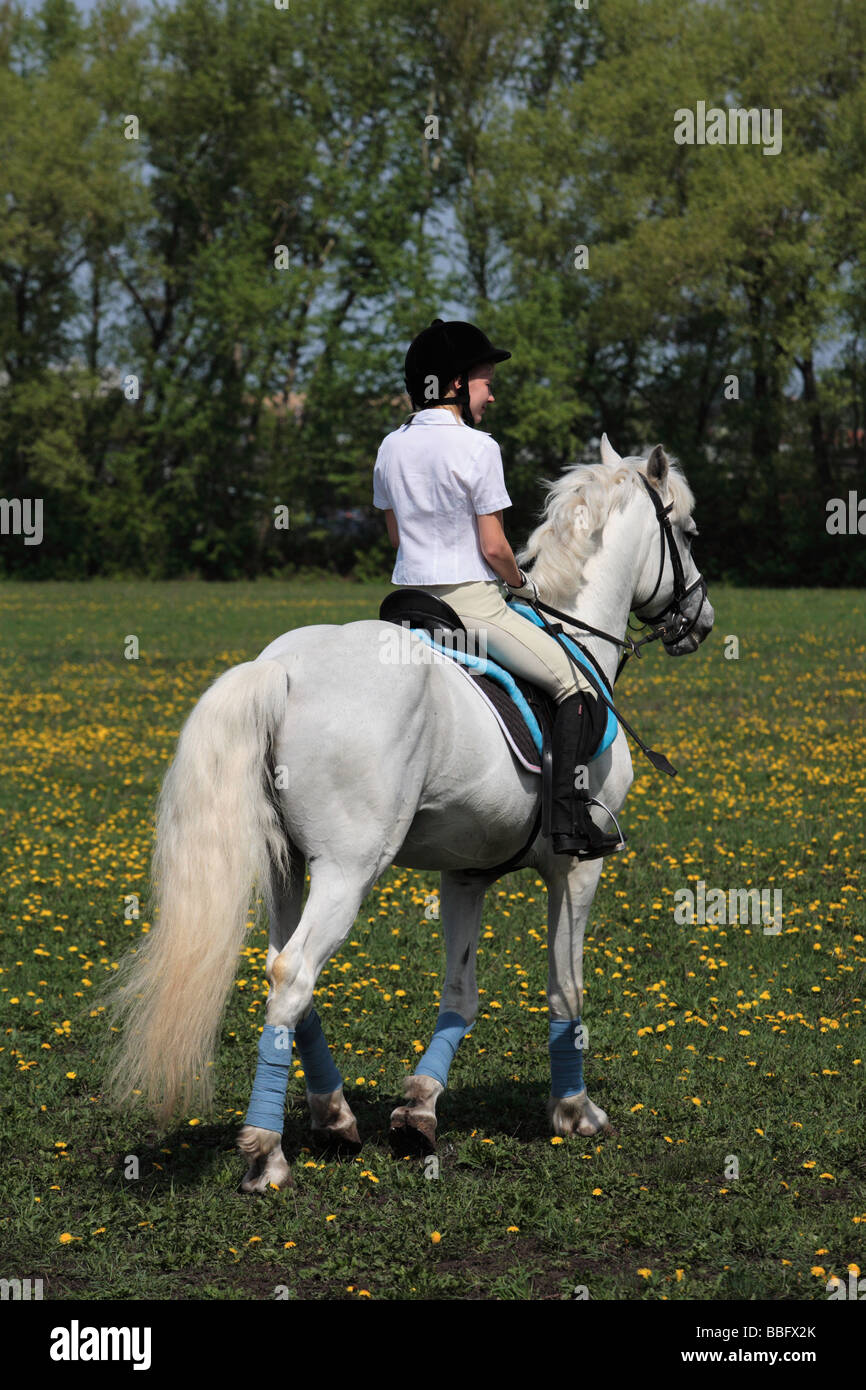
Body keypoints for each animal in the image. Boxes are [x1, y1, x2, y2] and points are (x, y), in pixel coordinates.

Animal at [107, 436, 717, 1195]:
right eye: (687, 532)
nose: (702, 622)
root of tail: (280, 669)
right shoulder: (577, 869)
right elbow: (566, 989)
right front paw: (575, 1112)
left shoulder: (467, 874)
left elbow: (460, 992)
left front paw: (419, 1112)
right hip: (349, 868)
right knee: (295, 973)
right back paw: (266, 1153)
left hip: (287, 865)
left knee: (283, 970)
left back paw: (334, 1117)